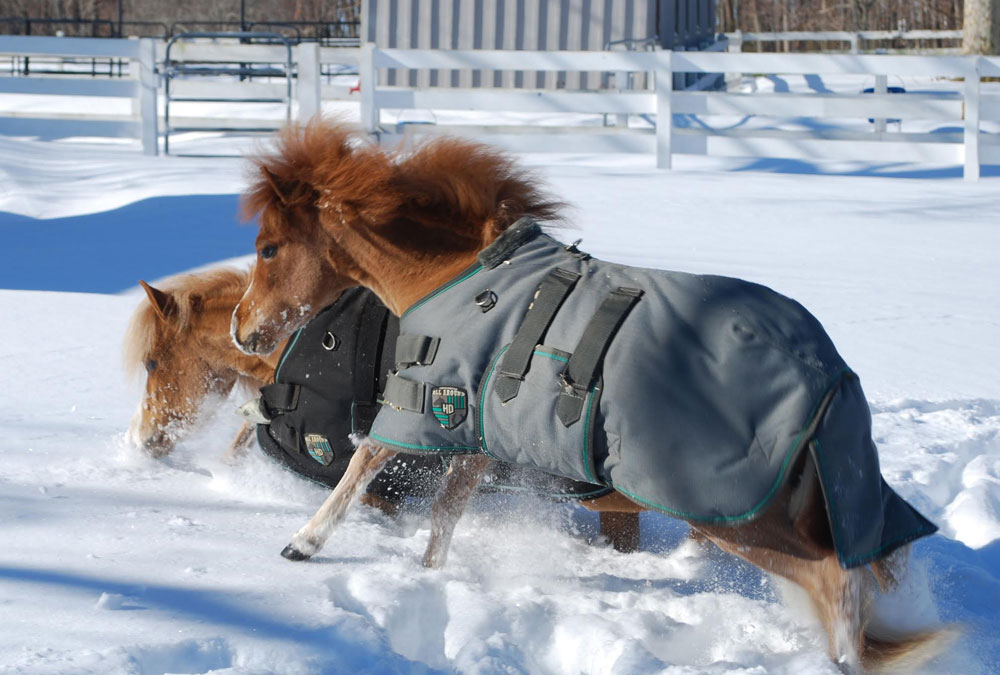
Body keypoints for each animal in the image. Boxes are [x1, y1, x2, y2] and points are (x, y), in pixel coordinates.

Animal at [230, 120, 948, 672]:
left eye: (268, 249)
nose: (243, 329)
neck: (455, 276)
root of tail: (827, 371)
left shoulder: (428, 404)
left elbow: (359, 466)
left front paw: (303, 543)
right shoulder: (478, 433)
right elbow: (446, 513)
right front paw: (429, 576)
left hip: (739, 516)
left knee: (837, 583)